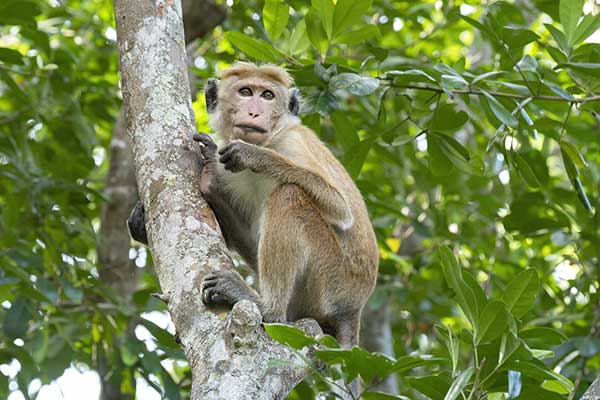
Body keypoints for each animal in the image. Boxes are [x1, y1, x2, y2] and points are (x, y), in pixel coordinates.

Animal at [128, 61, 378, 350]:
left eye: (268, 95)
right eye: (246, 92)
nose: (254, 111)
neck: (271, 139)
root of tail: (354, 309)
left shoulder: (293, 143)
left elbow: (340, 208)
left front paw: (253, 155)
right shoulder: (230, 174)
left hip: (334, 280)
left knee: (289, 194)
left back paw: (266, 307)